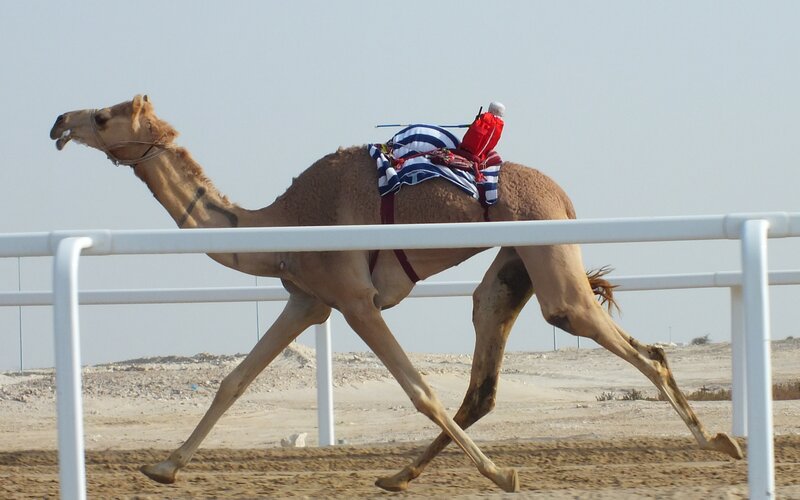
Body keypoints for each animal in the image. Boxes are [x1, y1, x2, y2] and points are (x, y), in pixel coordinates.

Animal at [49, 95, 743, 493]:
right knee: (484, 370)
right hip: (515, 265)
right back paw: (395, 473)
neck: (282, 222)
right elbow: (233, 381)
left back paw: (718, 442)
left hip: (551, 260)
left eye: (105, 116)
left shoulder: (353, 299)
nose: (58, 122)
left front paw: (502, 473)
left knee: (632, 345)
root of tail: (566, 197)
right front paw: (162, 467)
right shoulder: (308, 300)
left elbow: (419, 390)